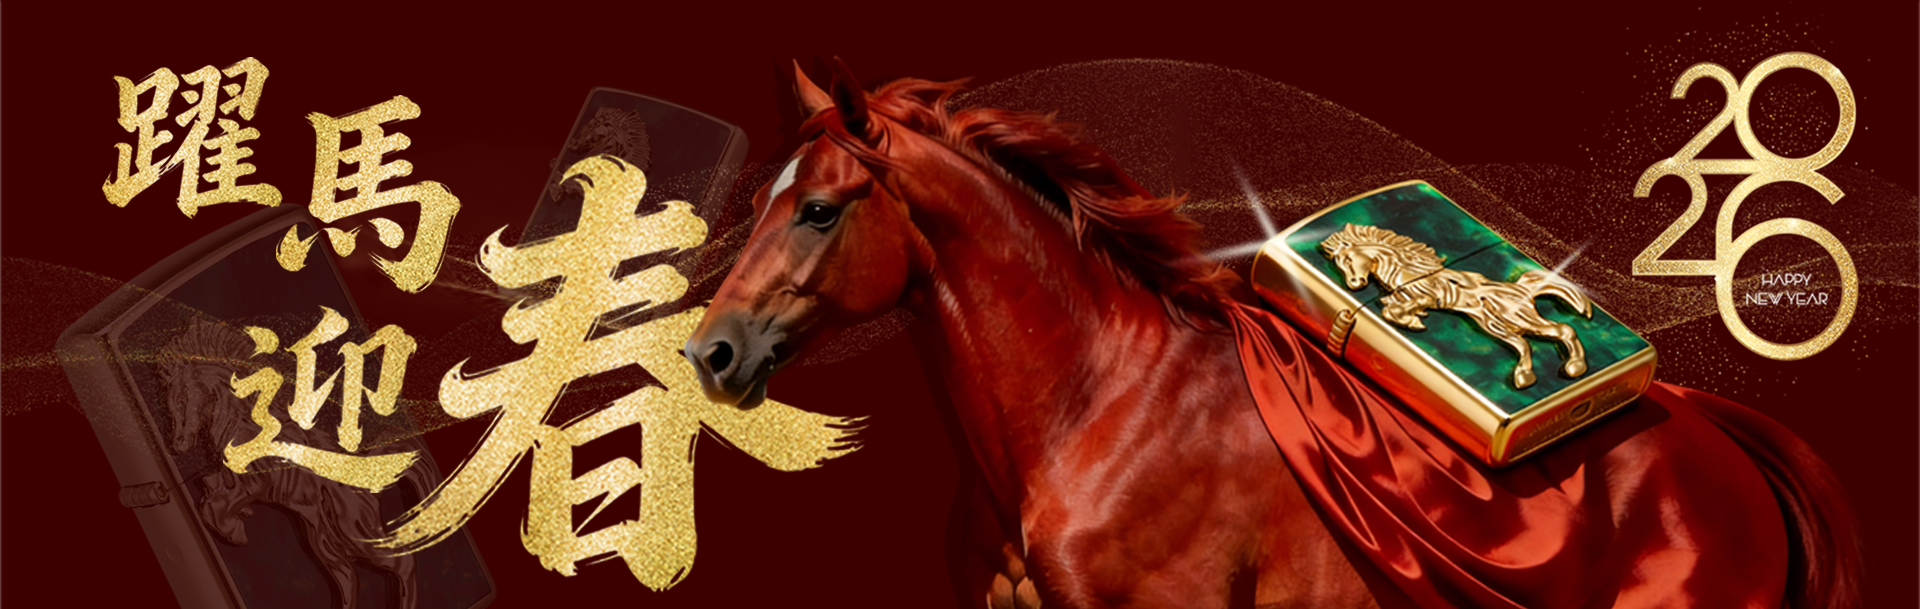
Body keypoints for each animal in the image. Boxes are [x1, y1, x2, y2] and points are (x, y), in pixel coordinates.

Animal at [157, 319, 419, 609]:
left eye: (182, 399)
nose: (178, 444)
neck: (244, 423)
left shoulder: (253, 485)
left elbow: (214, 509)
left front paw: (236, 533)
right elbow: (210, 493)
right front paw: (239, 518)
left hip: (354, 527)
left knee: (402, 563)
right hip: (322, 535)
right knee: (349, 578)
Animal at [1319, 223, 1590, 389]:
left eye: (1347, 259)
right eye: (1339, 262)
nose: (1354, 285)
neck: (1405, 268)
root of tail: (1523, 289)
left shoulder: (1430, 295)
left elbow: (1395, 309)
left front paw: (1411, 322)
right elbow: (1393, 306)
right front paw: (1412, 319)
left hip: (1517, 318)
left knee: (1563, 330)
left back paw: (1572, 368)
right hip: (1494, 325)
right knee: (1524, 343)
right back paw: (1527, 375)